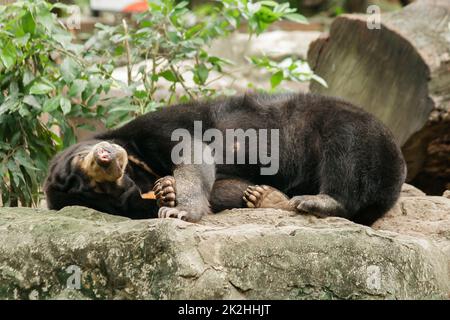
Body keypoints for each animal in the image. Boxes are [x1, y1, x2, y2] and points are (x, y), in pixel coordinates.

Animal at [44, 92, 406, 225]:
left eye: (82, 160)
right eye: (99, 187)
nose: (106, 157)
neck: (139, 159)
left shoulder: (157, 126)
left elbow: (191, 150)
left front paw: (177, 209)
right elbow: (224, 186)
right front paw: (166, 191)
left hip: (354, 129)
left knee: (344, 151)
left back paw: (319, 200)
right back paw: (269, 198)